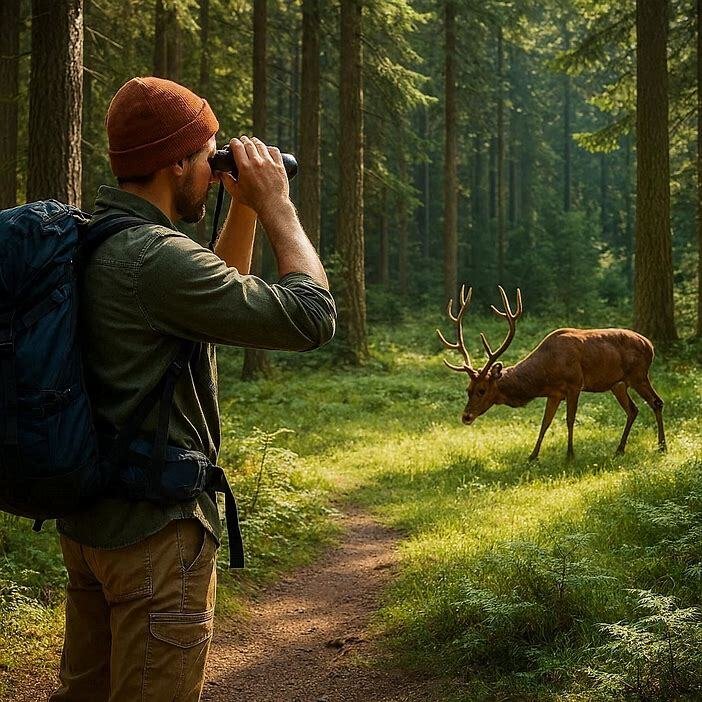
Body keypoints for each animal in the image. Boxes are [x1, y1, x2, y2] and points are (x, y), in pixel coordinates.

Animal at [437, 285, 666, 460]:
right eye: (467, 389)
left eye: (482, 390)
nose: (466, 416)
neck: (544, 375)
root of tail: (651, 345)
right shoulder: (554, 393)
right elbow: (545, 423)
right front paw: (532, 455)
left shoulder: (575, 384)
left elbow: (570, 419)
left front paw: (570, 455)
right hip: (618, 384)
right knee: (633, 410)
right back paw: (619, 449)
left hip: (638, 374)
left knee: (656, 402)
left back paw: (662, 446)